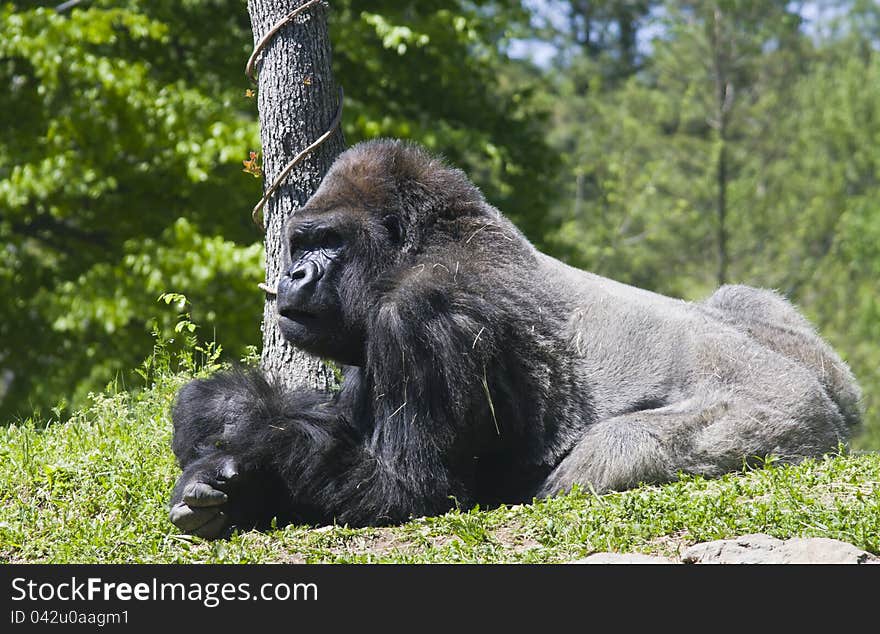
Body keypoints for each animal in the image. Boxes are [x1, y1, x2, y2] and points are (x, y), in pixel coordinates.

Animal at [168, 137, 864, 532]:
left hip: (786, 415)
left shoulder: (423, 314)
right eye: (303, 242)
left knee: (613, 452)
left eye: (331, 243)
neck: (423, 244)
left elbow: (403, 488)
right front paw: (223, 410)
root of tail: (835, 411)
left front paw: (251, 461)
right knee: (741, 299)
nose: (293, 273)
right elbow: (335, 428)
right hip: (811, 363)